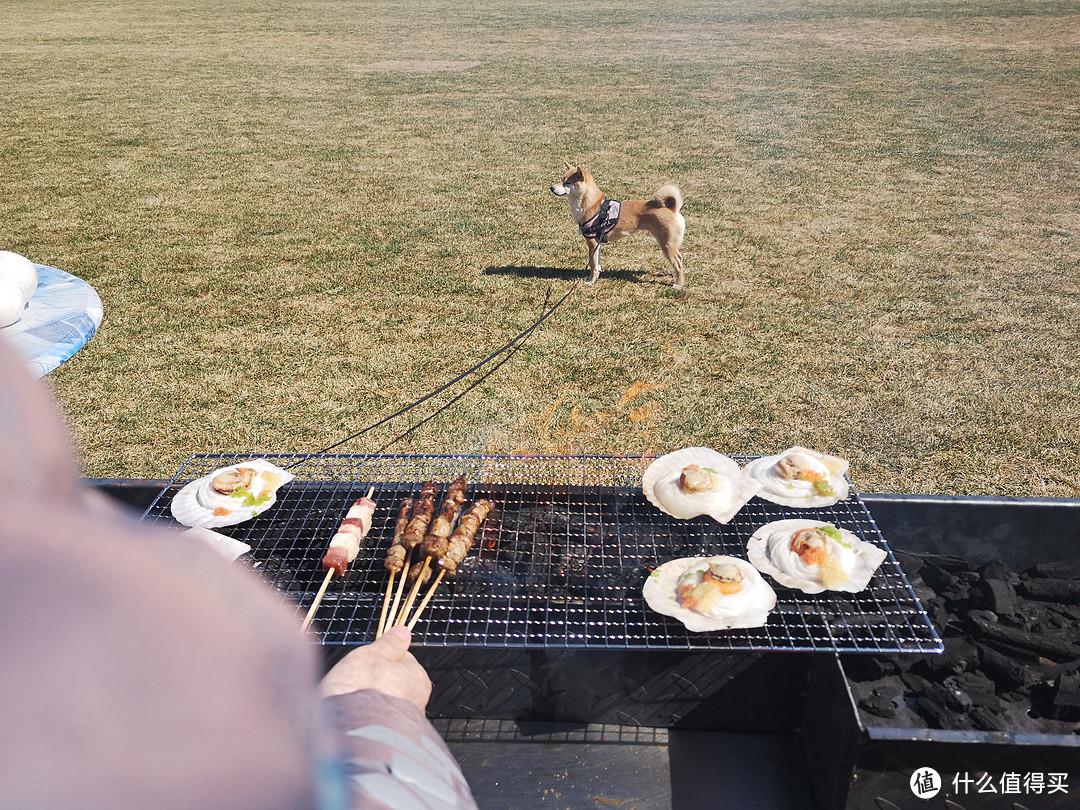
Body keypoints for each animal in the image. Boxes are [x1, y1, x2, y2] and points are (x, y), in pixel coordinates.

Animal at [552, 163, 686, 289]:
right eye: (561, 179)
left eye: (567, 183)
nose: (551, 187)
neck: (593, 205)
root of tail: (671, 208)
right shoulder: (598, 243)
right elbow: (597, 265)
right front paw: (596, 278)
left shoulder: (592, 242)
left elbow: (593, 265)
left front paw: (590, 281)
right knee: (680, 258)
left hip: (666, 244)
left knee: (678, 264)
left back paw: (678, 284)